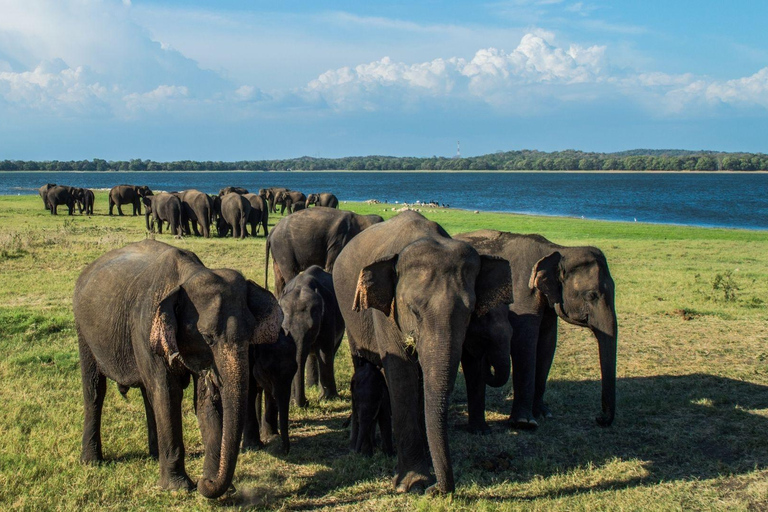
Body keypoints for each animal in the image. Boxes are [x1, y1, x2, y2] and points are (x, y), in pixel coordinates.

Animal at [71, 241, 282, 500]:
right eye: (208, 337)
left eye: (251, 334)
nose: (205, 482)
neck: (188, 275)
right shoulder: (145, 330)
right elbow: (168, 393)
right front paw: (179, 487)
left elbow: (204, 399)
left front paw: (213, 484)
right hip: (83, 330)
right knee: (95, 389)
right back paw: (91, 461)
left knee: (147, 394)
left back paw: (154, 455)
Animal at [280, 266, 344, 406]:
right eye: (285, 329)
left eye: (313, 329)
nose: (306, 402)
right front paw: (291, 402)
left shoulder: (328, 316)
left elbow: (324, 352)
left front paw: (328, 399)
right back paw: (311, 386)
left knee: (330, 352)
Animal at [332, 210, 512, 494]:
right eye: (414, 310)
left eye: (469, 313)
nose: (437, 490)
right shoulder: (386, 313)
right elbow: (401, 374)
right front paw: (413, 483)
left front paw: (422, 471)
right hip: (350, 315)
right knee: (363, 365)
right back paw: (363, 450)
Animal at [456, 230, 616, 430]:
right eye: (591, 295)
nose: (599, 418)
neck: (557, 250)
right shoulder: (522, 295)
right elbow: (524, 344)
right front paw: (524, 423)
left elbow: (547, 344)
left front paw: (543, 413)